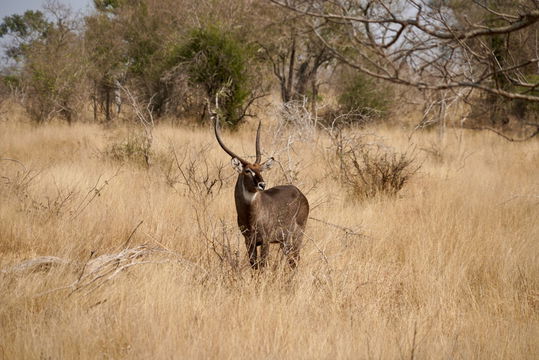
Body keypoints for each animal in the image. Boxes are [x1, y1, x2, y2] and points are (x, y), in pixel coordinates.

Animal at [213, 114, 310, 268]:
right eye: (247, 170)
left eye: (260, 169)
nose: (262, 184)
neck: (250, 216)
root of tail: (300, 193)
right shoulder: (249, 241)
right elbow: (254, 265)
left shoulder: (265, 240)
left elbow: (263, 265)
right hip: (284, 241)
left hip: (297, 235)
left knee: (295, 260)